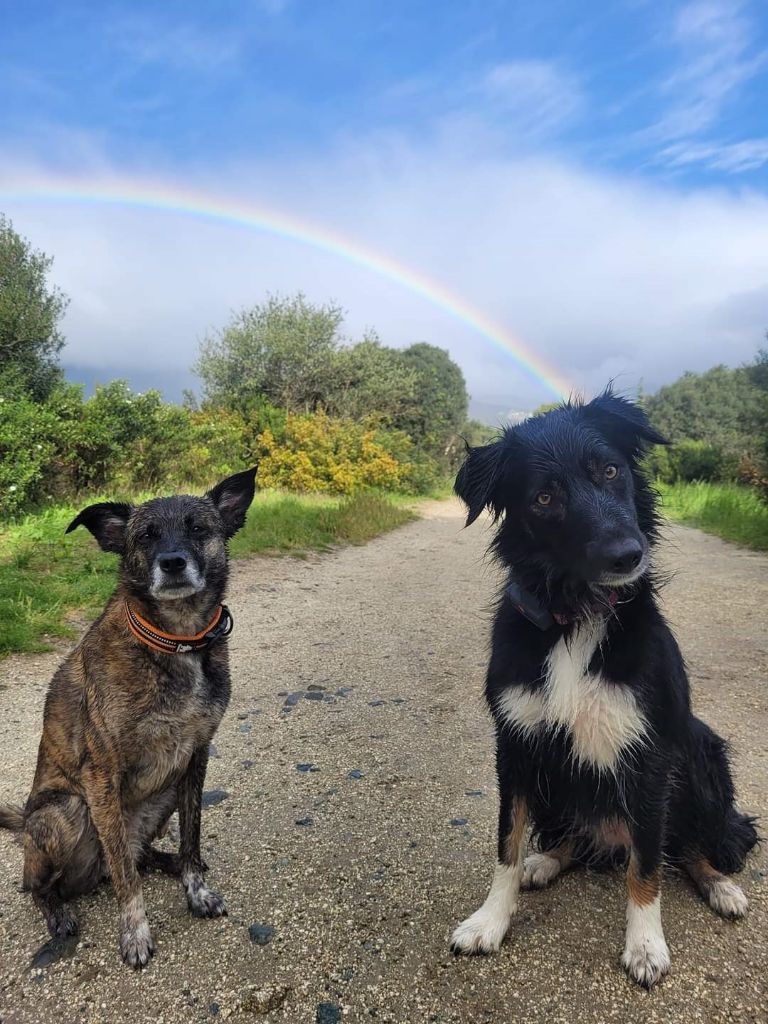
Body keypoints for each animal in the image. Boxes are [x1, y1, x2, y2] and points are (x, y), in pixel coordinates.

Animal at [0, 468, 259, 962]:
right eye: (146, 536)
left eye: (199, 528)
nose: (173, 562)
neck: (174, 641)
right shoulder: (102, 773)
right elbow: (125, 875)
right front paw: (135, 932)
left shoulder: (195, 759)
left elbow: (192, 836)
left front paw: (195, 888)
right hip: (66, 812)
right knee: (44, 885)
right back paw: (58, 913)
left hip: (164, 793)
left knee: (139, 854)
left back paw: (168, 862)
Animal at [450, 389, 757, 983]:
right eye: (545, 497)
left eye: (611, 470)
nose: (628, 555)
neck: (578, 614)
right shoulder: (516, 744)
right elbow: (506, 844)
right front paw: (489, 921)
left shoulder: (651, 753)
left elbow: (648, 863)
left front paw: (645, 944)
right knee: (577, 839)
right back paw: (549, 860)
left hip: (701, 752)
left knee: (683, 845)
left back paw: (720, 885)